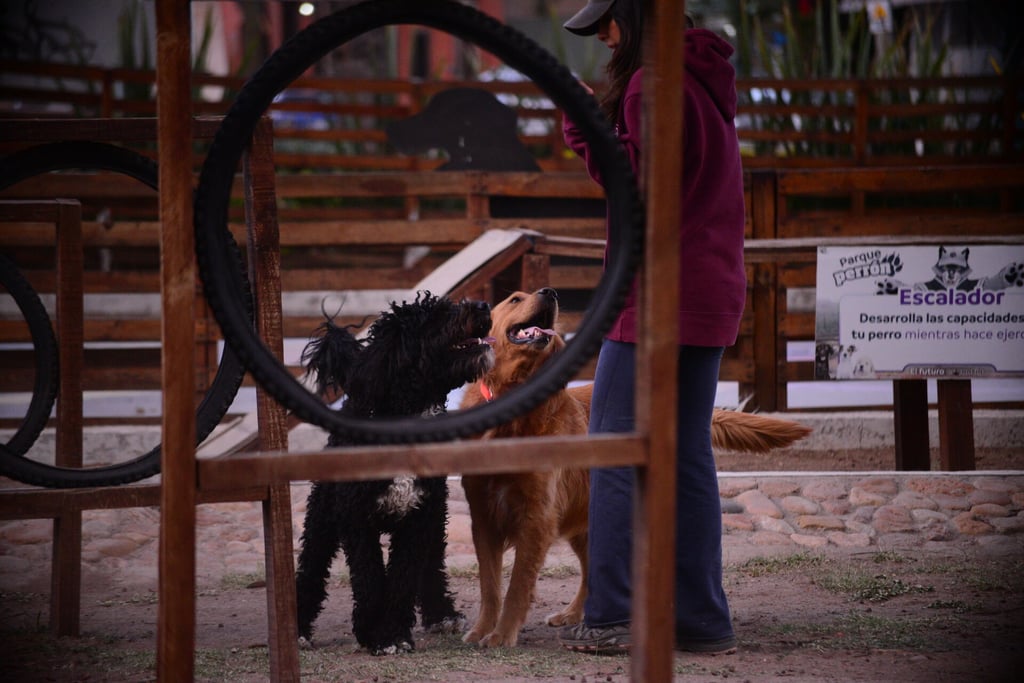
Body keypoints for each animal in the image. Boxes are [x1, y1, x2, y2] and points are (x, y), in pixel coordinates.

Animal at [294, 290, 493, 655]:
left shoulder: (420, 516)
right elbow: (370, 578)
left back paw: (441, 614)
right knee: (311, 565)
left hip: (435, 515)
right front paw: (374, 634)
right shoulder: (356, 521)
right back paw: (298, 628)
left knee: (432, 563)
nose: (484, 306)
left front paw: (394, 634)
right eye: (435, 317)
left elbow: (403, 577)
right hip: (323, 515)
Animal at [462, 286, 806, 647]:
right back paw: (577, 615)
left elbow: (516, 586)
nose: (551, 292)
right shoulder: (483, 518)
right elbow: (490, 586)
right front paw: (483, 629)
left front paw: (502, 635)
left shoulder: (536, 519)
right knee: (591, 570)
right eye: (515, 299)